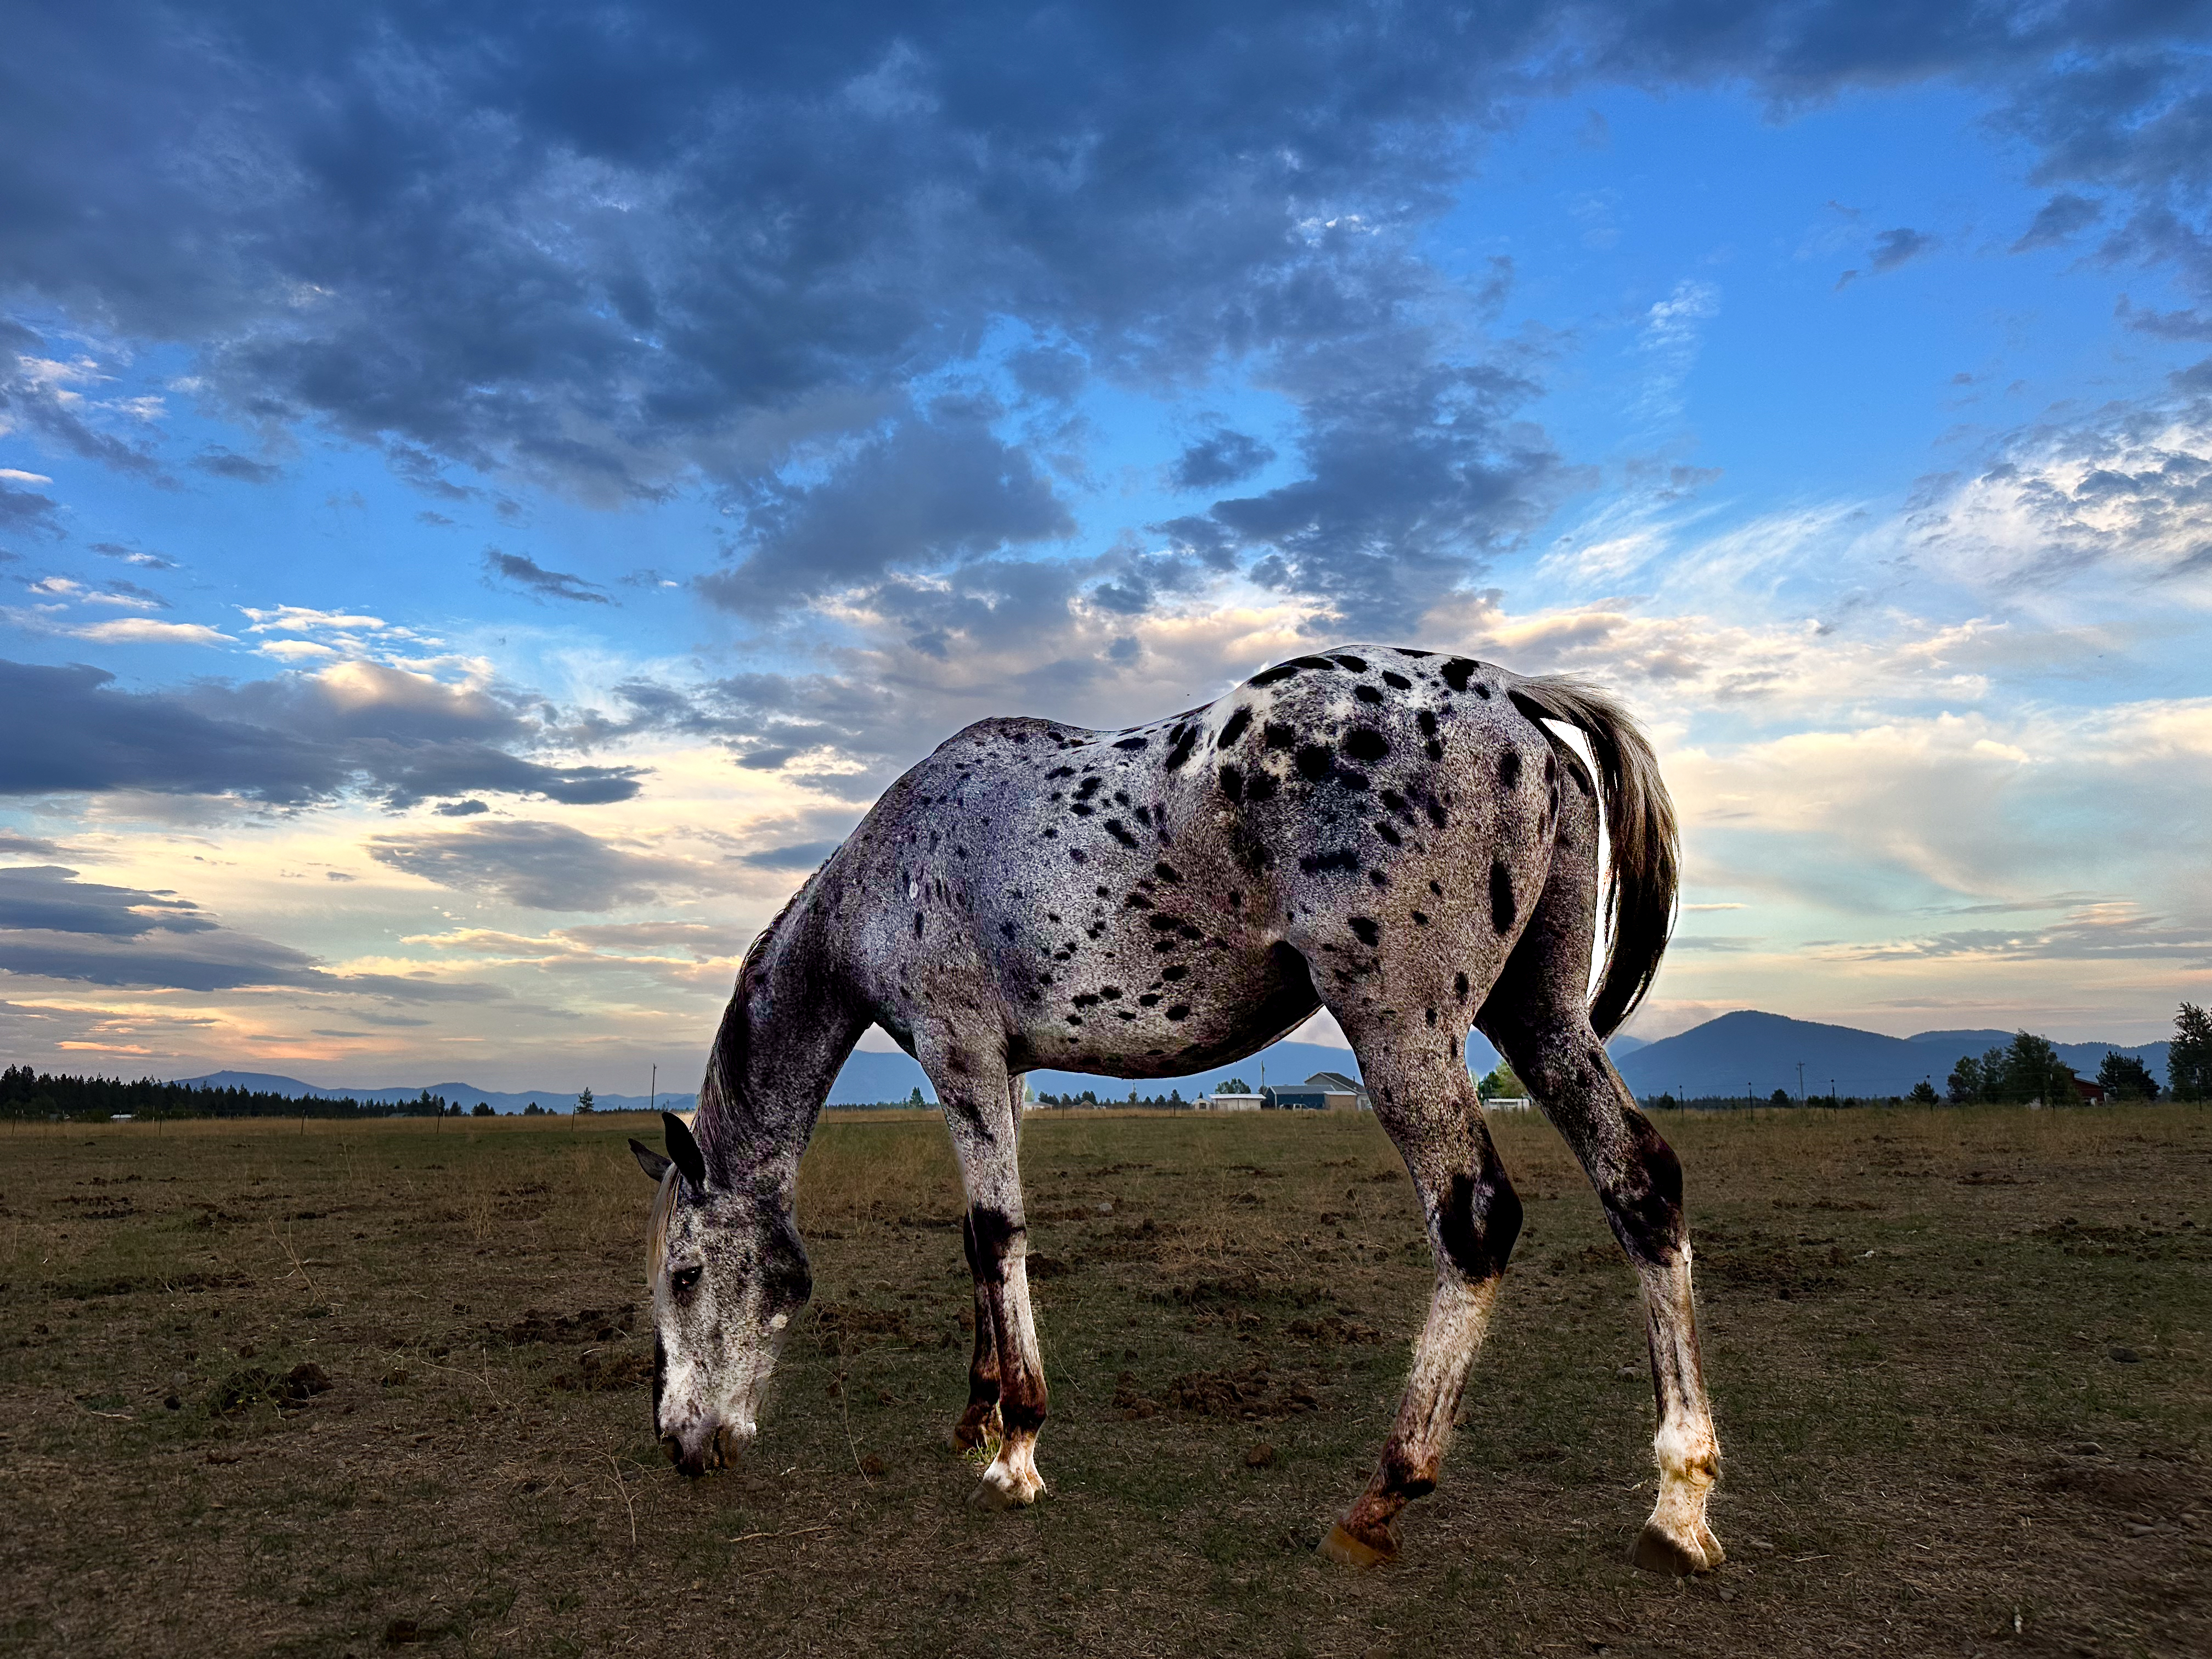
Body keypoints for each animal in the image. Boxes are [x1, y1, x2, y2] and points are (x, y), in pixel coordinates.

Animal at [625, 644, 1724, 1574]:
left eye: (684, 1274)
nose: (679, 1440)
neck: (894, 865)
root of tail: (1515, 694)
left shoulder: (959, 1052)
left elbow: (994, 1231)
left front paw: (1015, 1448)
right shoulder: (1005, 1071)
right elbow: (982, 1240)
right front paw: (977, 1415)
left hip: (1403, 1027)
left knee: (1476, 1217)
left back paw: (1381, 1497)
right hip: (1541, 1015)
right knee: (1641, 1183)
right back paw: (1678, 1506)